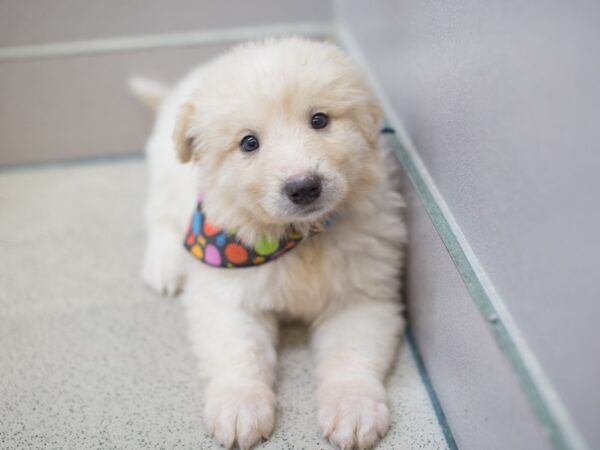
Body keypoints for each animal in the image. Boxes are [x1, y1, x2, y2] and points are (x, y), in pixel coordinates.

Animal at [133, 37, 408, 450]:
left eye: (319, 120)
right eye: (249, 143)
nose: (304, 186)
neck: (300, 237)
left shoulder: (361, 296)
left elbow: (351, 354)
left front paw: (353, 408)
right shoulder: (228, 297)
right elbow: (239, 353)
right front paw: (239, 407)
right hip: (167, 178)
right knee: (158, 218)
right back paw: (164, 266)